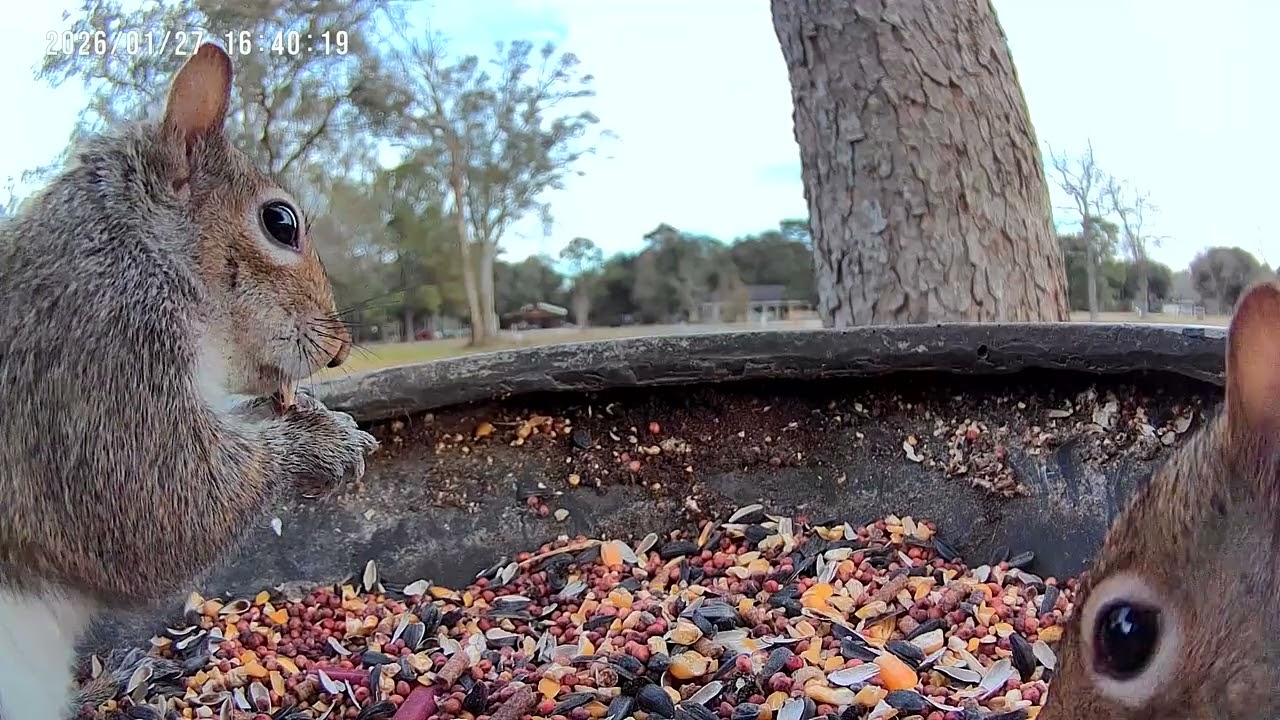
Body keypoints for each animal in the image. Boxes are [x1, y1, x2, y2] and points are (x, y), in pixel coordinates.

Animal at [0, 43, 379, 720]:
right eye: (281, 222)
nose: (337, 352)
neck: (144, 252)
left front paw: (312, 411)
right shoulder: (101, 357)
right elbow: (172, 503)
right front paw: (323, 446)